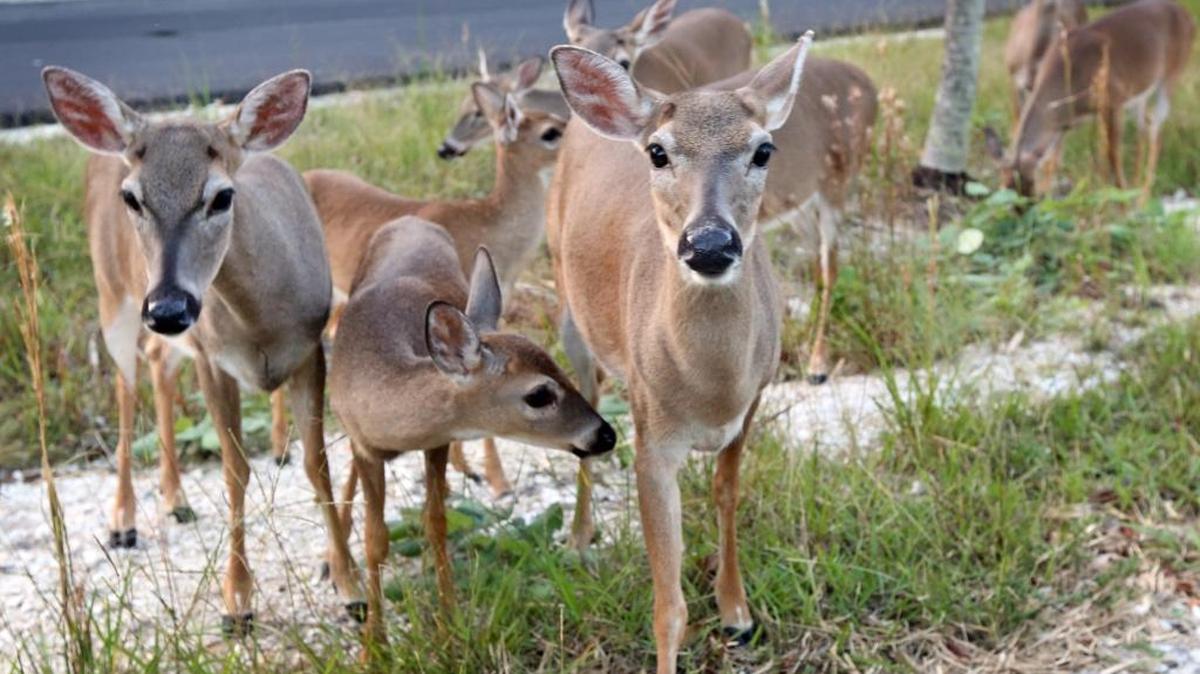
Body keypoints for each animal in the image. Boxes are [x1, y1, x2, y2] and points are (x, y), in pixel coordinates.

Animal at [42, 67, 362, 634]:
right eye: (133, 198)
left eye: (221, 196)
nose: (169, 306)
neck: (263, 322)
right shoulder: (215, 360)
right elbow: (235, 472)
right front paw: (237, 600)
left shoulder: (310, 350)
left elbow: (317, 462)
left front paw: (350, 585)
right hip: (113, 294)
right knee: (125, 384)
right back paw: (123, 520)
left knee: (157, 363)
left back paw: (176, 499)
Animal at [328, 219, 615, 649]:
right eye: (539, 394)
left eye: (559, 367)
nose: (605, 435)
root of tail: (411, 220)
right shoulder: (365, 445)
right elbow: (375, 540)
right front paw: (374, 645)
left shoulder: (437, 441)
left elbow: (437, 524)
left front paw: (448, 628)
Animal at [547, 33, 815, 671]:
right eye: (658, 153)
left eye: (764, 150)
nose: (710, 243)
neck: (711, 389)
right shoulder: (653, 439)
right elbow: (668, 607)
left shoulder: (753, 401)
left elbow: (726, 494)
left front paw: (738, 613)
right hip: (568, 306)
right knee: (584, 407)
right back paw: (579, 539)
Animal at [987, 0, 1195, 198]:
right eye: (1004, 188)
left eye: (1029, 185)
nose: (1024, 209)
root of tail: (1185, 13)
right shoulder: (1065, 121)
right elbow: (1052, 158)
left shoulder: (1113, 101)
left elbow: (1112, 156)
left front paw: (1121, 200)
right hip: (1140, 92)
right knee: (1145, 129)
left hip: (1170, 77)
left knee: (1156, 132)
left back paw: (1141, 198)